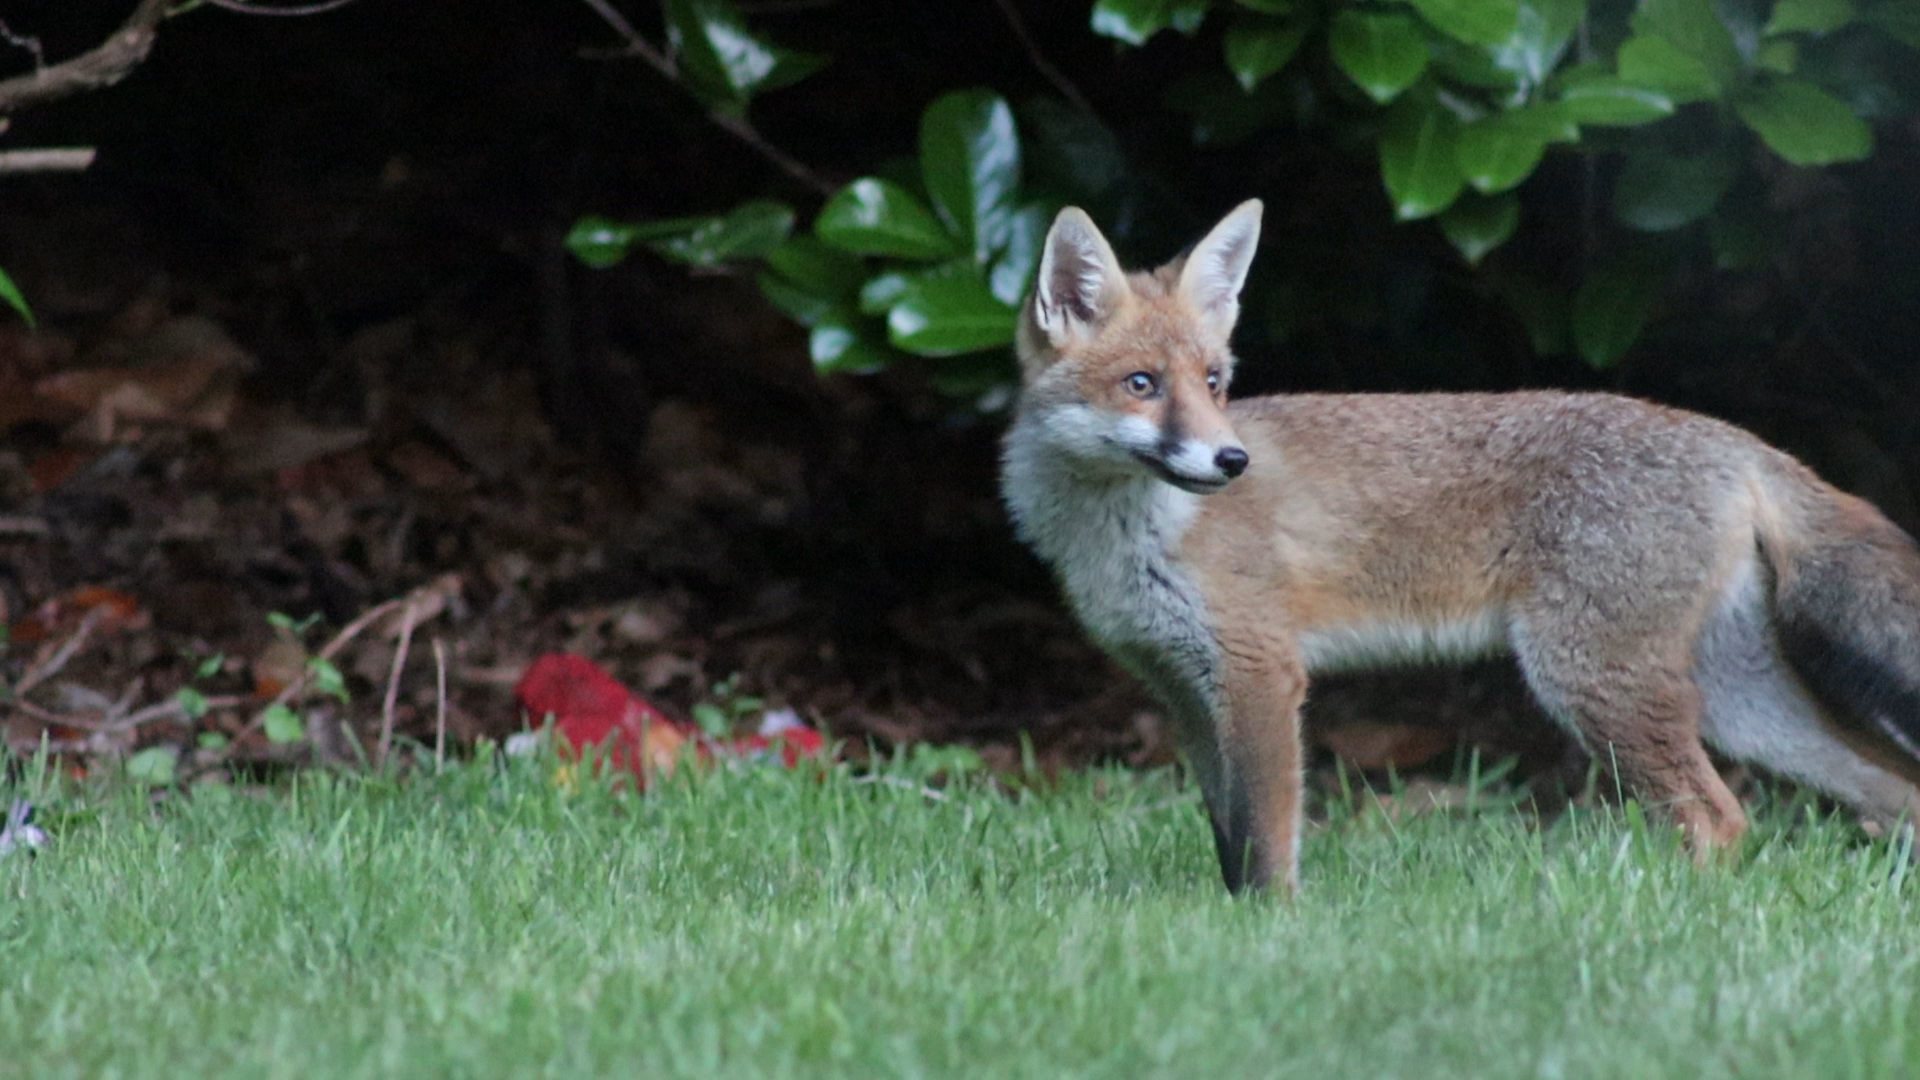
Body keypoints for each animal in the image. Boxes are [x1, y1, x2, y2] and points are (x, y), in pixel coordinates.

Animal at [1001, 198, 1920, 895]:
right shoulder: (1182, 689)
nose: (1232, 461)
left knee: (1722, 817)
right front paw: (1230, 921)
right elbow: (1230, 838)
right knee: (1888, 785)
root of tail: (1733, 440)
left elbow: (1268, 839)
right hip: (1737, 700)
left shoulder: (1260, 674)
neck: (1129, 536)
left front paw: (1271, 929)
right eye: (1143, 385)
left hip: (1594, 682)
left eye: (1215, 382)